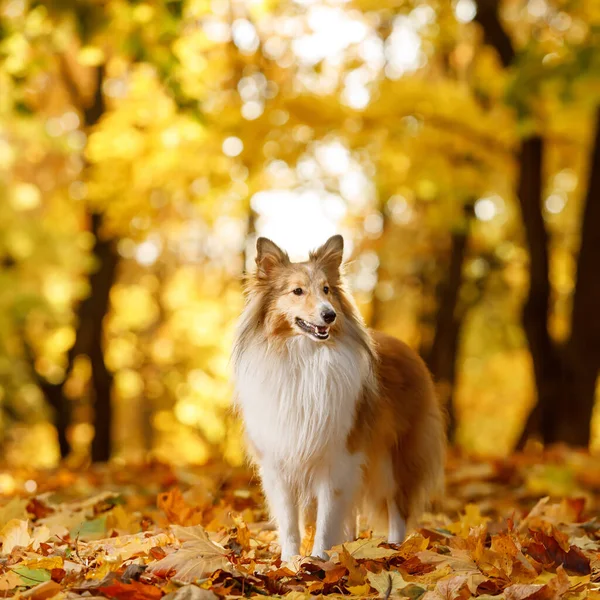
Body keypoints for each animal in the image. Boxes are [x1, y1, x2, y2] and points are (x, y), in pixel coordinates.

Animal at [230, 236, 446, 564]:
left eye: (327, 289)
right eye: (297, 291)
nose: (329, 314)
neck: (304, 358)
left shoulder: (338, 456)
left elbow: (327, 517)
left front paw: (319, 560)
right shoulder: (279, 462)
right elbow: (290, 523)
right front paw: (289, 563)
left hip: (393, 459)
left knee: (397, 507)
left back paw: (395, 550)